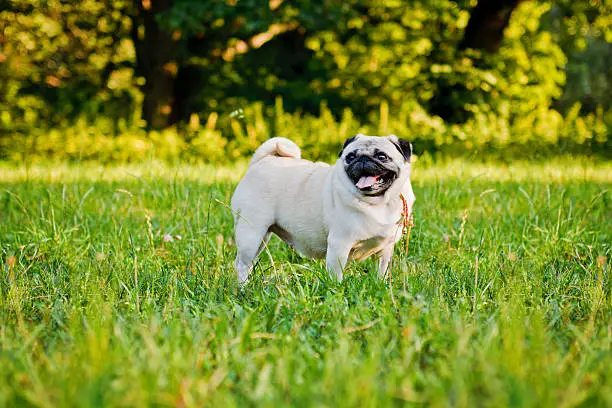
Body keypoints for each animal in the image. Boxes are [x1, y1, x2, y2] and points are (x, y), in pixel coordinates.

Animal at [231, 135, 416, 284]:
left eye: (381, 156)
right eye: (350, 157)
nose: (362, 159)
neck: (376, 203)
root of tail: (261, 161)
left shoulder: (385, 250)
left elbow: (381, 272)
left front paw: (380, 286)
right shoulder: (339, 245)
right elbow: (336, 275)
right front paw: (337, 291)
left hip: (262, 237)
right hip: (251, 233)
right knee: (242, 264)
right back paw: (243, 288)